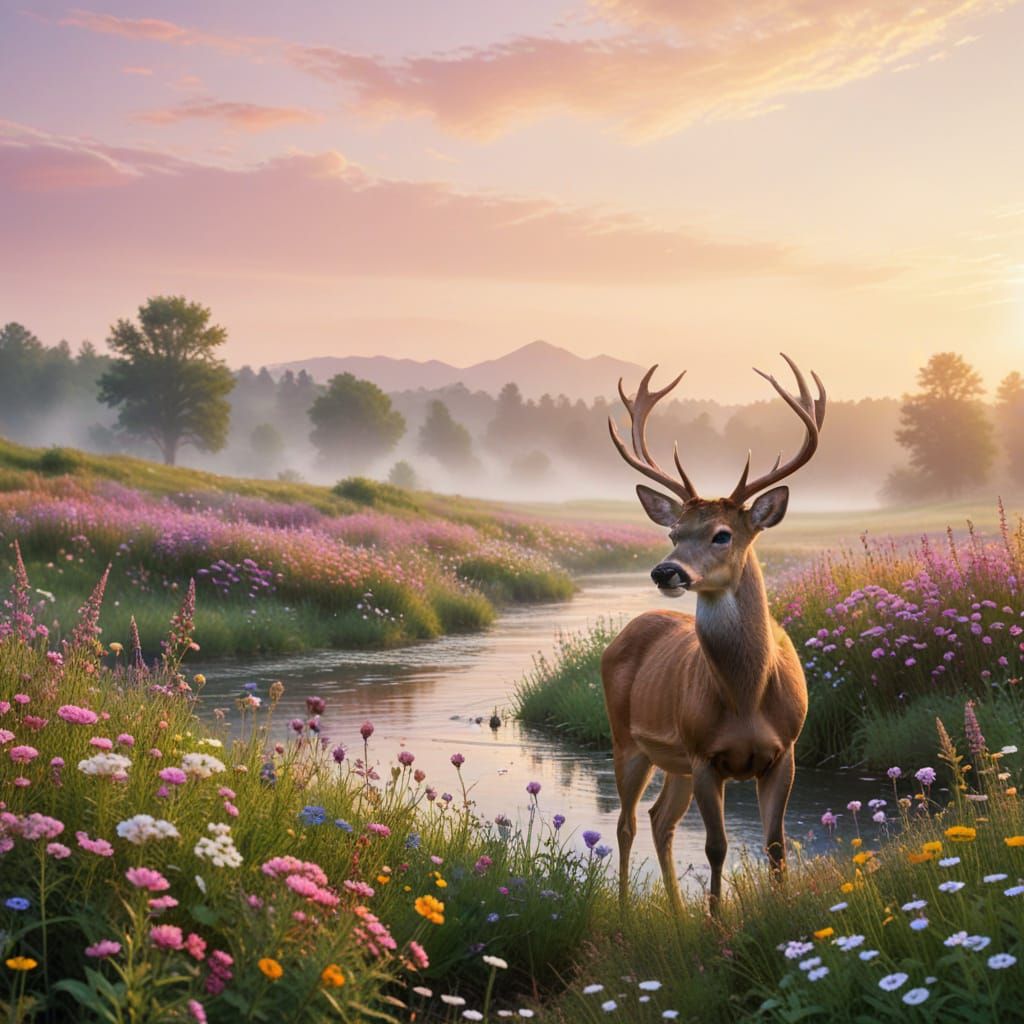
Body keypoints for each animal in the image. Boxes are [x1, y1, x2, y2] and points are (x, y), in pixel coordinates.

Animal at [601, 354, 825, 914]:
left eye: (722, 534)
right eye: (673, 532)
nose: (666, 571)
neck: (746, 697)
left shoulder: (786, 751)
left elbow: (775, 844)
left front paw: (778, 911)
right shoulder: (705, 755)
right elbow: (716, 846)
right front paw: (716, 919)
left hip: (674, 761)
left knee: (659, 819)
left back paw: (678, 913)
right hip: (626, 739)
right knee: (627, 823)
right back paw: (625, 909)